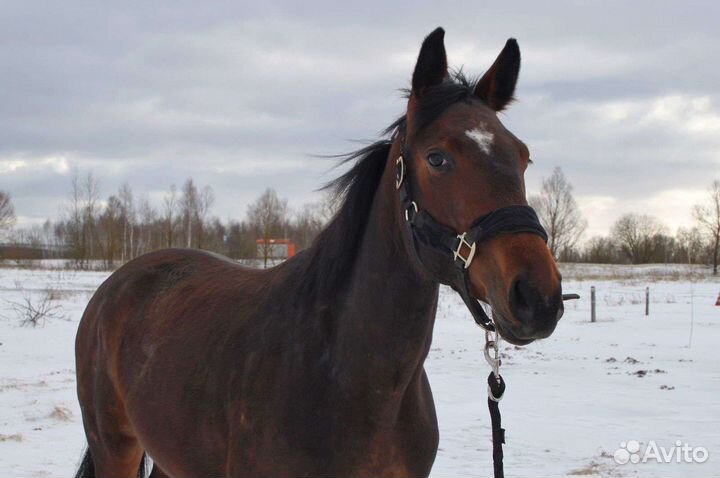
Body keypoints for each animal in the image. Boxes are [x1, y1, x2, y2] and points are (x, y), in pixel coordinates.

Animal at [74, 27, 563, 478]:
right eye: (437, 158)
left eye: (523, 157)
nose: (537, 296)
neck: (347, 377)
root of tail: (117, 284)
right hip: (115, 447)